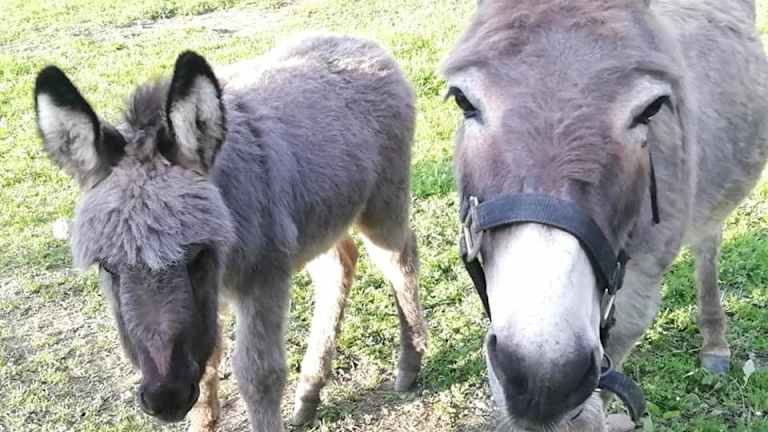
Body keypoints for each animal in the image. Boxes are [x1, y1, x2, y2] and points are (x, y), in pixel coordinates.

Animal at [34, 34, 428, 431]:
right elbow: (207, 365)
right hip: (317, 221)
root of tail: (354, 40)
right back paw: (309, 393)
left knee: (400, 259)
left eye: (197, 256)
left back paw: (409, 365)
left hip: (382, 204)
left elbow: (259, 375)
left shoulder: (264, 280)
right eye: (108, 267)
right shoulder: (208, 308)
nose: (166, 398)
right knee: (339, 266)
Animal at [442, 0, 768, 430]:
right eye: (463, 100)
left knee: (708, 243)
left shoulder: (639, 291)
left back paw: (715, 342)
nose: (543, 380)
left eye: (651, 109)